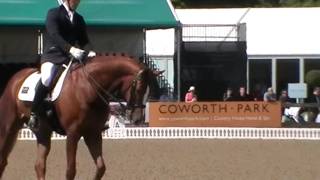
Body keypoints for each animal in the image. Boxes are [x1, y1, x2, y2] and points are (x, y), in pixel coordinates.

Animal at [0, 54, 159, 179]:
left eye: (149, 91)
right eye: (138, 89)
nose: (137, 119)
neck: (88, 89)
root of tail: (16, 77)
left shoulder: (93, 133)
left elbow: (101, 167)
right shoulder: (73, 134)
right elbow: (71, 171)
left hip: (43, 130)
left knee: (39, 165)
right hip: (9, 126)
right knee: (3, 158)